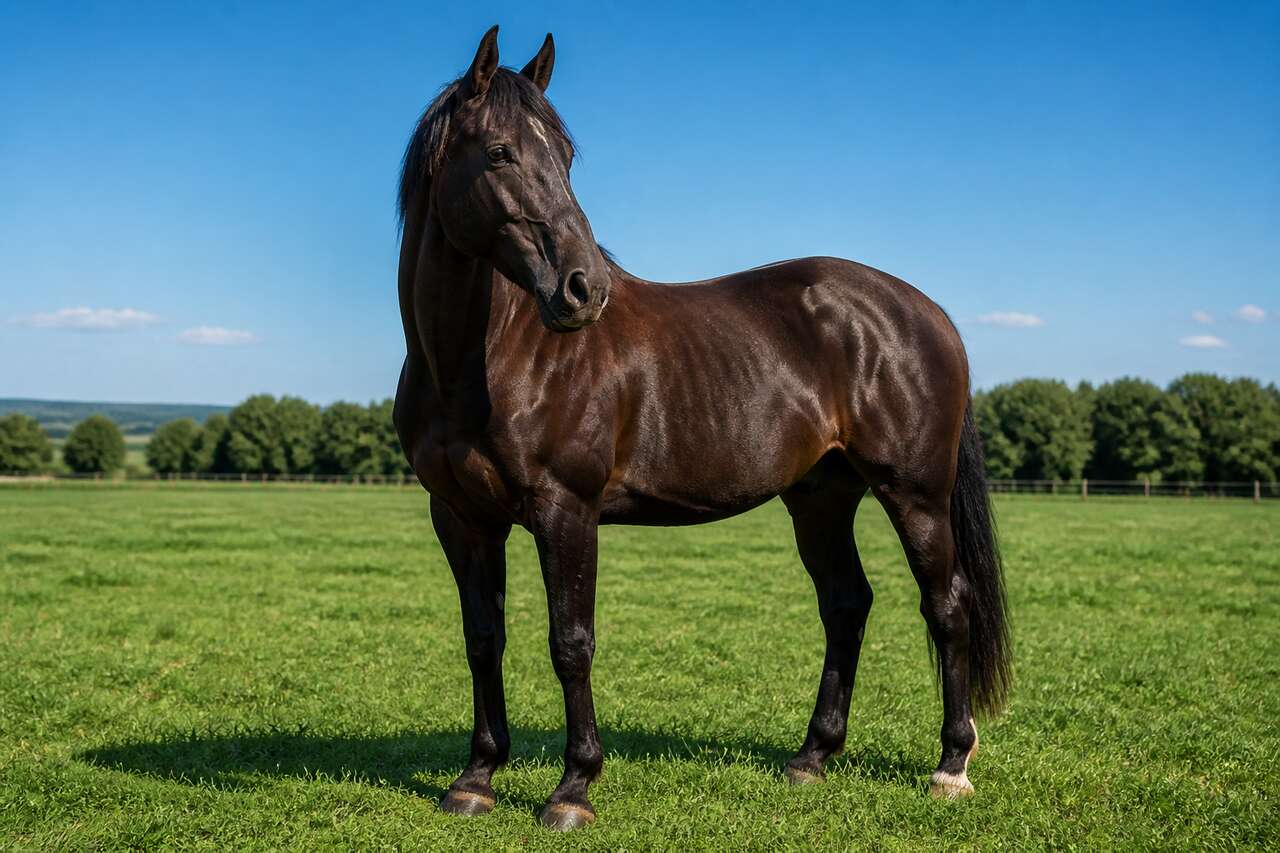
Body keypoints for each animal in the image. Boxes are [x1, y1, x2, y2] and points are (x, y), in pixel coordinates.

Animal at [393, 26, 1011, 831]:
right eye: (500, 152)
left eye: (564, 156)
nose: (585, 288)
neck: (483, 359)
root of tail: (927, 312)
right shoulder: (462, 517)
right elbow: (482, 639)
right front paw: (476, 777)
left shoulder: (566, 511)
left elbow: (571, 643)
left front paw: (573, 788)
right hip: (821, 498)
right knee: (847, 605)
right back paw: (811, 758)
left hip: (915, 495)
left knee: (947, 605)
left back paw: (951, 764)